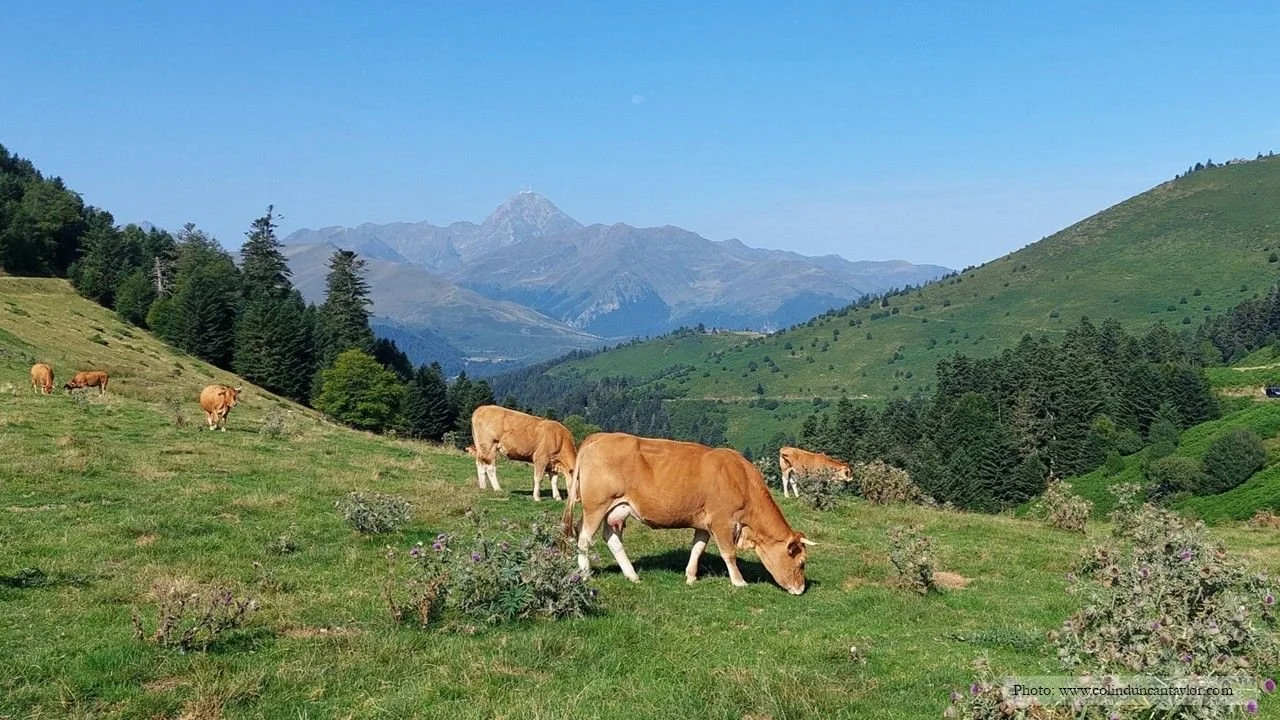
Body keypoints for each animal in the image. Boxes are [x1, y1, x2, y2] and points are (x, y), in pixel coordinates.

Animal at [563, 432, 814, 594]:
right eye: (801, 563)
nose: (801, 589)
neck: (740, 478)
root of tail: (599, 437)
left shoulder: (703, 523)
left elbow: (697, 549)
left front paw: (691, 576)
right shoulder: (721, 521)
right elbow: (729, 554)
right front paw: (739, 582)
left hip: (615, 509)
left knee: (610, 538)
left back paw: (632, 575)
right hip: (596, 506)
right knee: (584, 538)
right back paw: (585, 574)